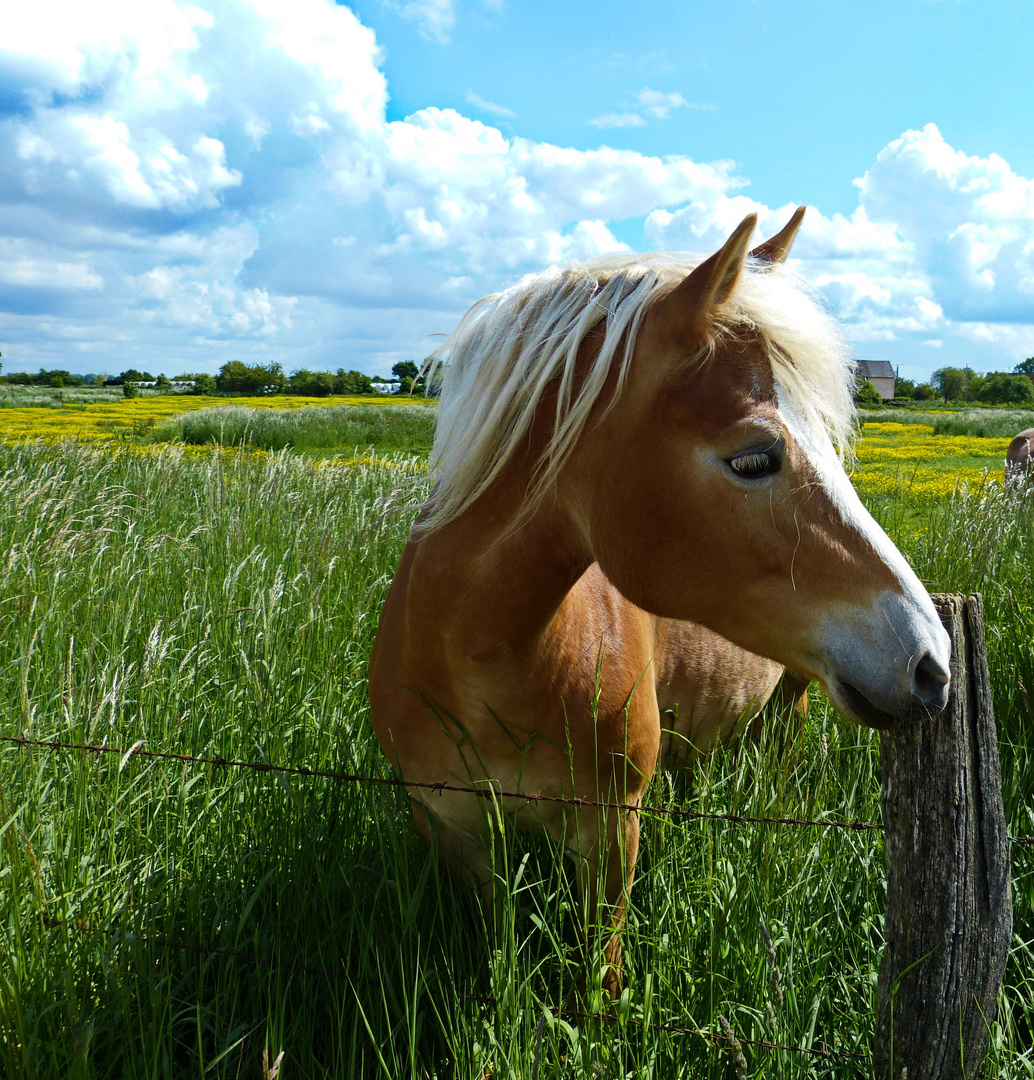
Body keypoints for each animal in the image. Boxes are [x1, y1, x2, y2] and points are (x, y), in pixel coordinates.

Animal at [367, 208, 946, 993]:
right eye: (754, 458)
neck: (479, 664)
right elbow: (497, 951)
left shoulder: (611, 826)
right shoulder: (451, 828)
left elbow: (600, 974)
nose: (932, 661)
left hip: (791, 707)